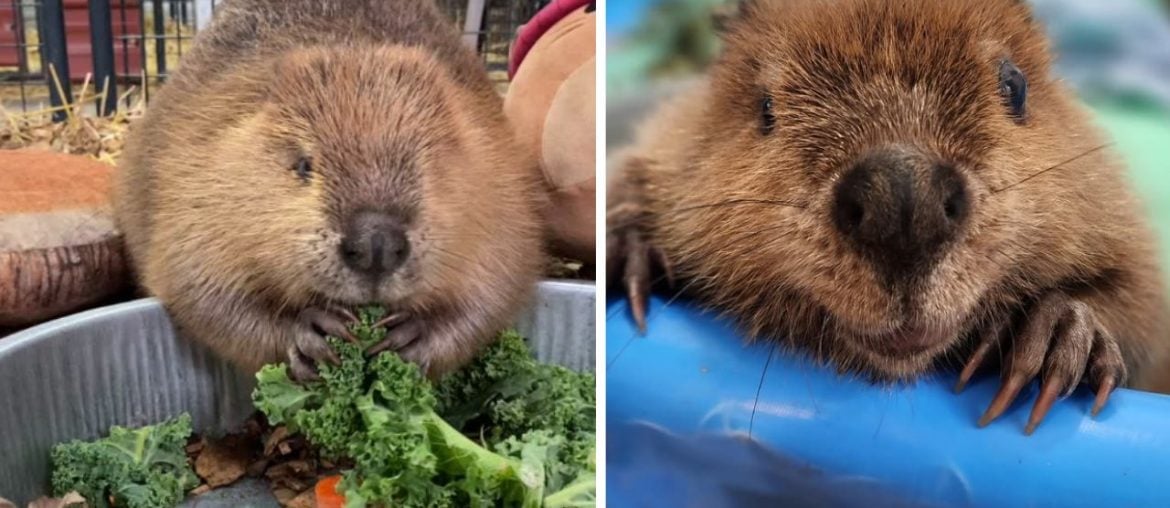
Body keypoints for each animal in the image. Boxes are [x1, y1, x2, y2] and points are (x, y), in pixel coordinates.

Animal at [114, 0, 542, 381]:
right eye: (305, 164)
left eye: (428, 160)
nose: (376, 244)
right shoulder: (197, 177)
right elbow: (197, 289)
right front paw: (314, 330)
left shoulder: (501, 190)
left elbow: (494, 294)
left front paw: (409, 337)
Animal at [608, 0, 1170, 433]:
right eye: (766, 107)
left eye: (1015, 86)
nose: (904, 200)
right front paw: (628, 255)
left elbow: (1142, 304)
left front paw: (1052, 331)